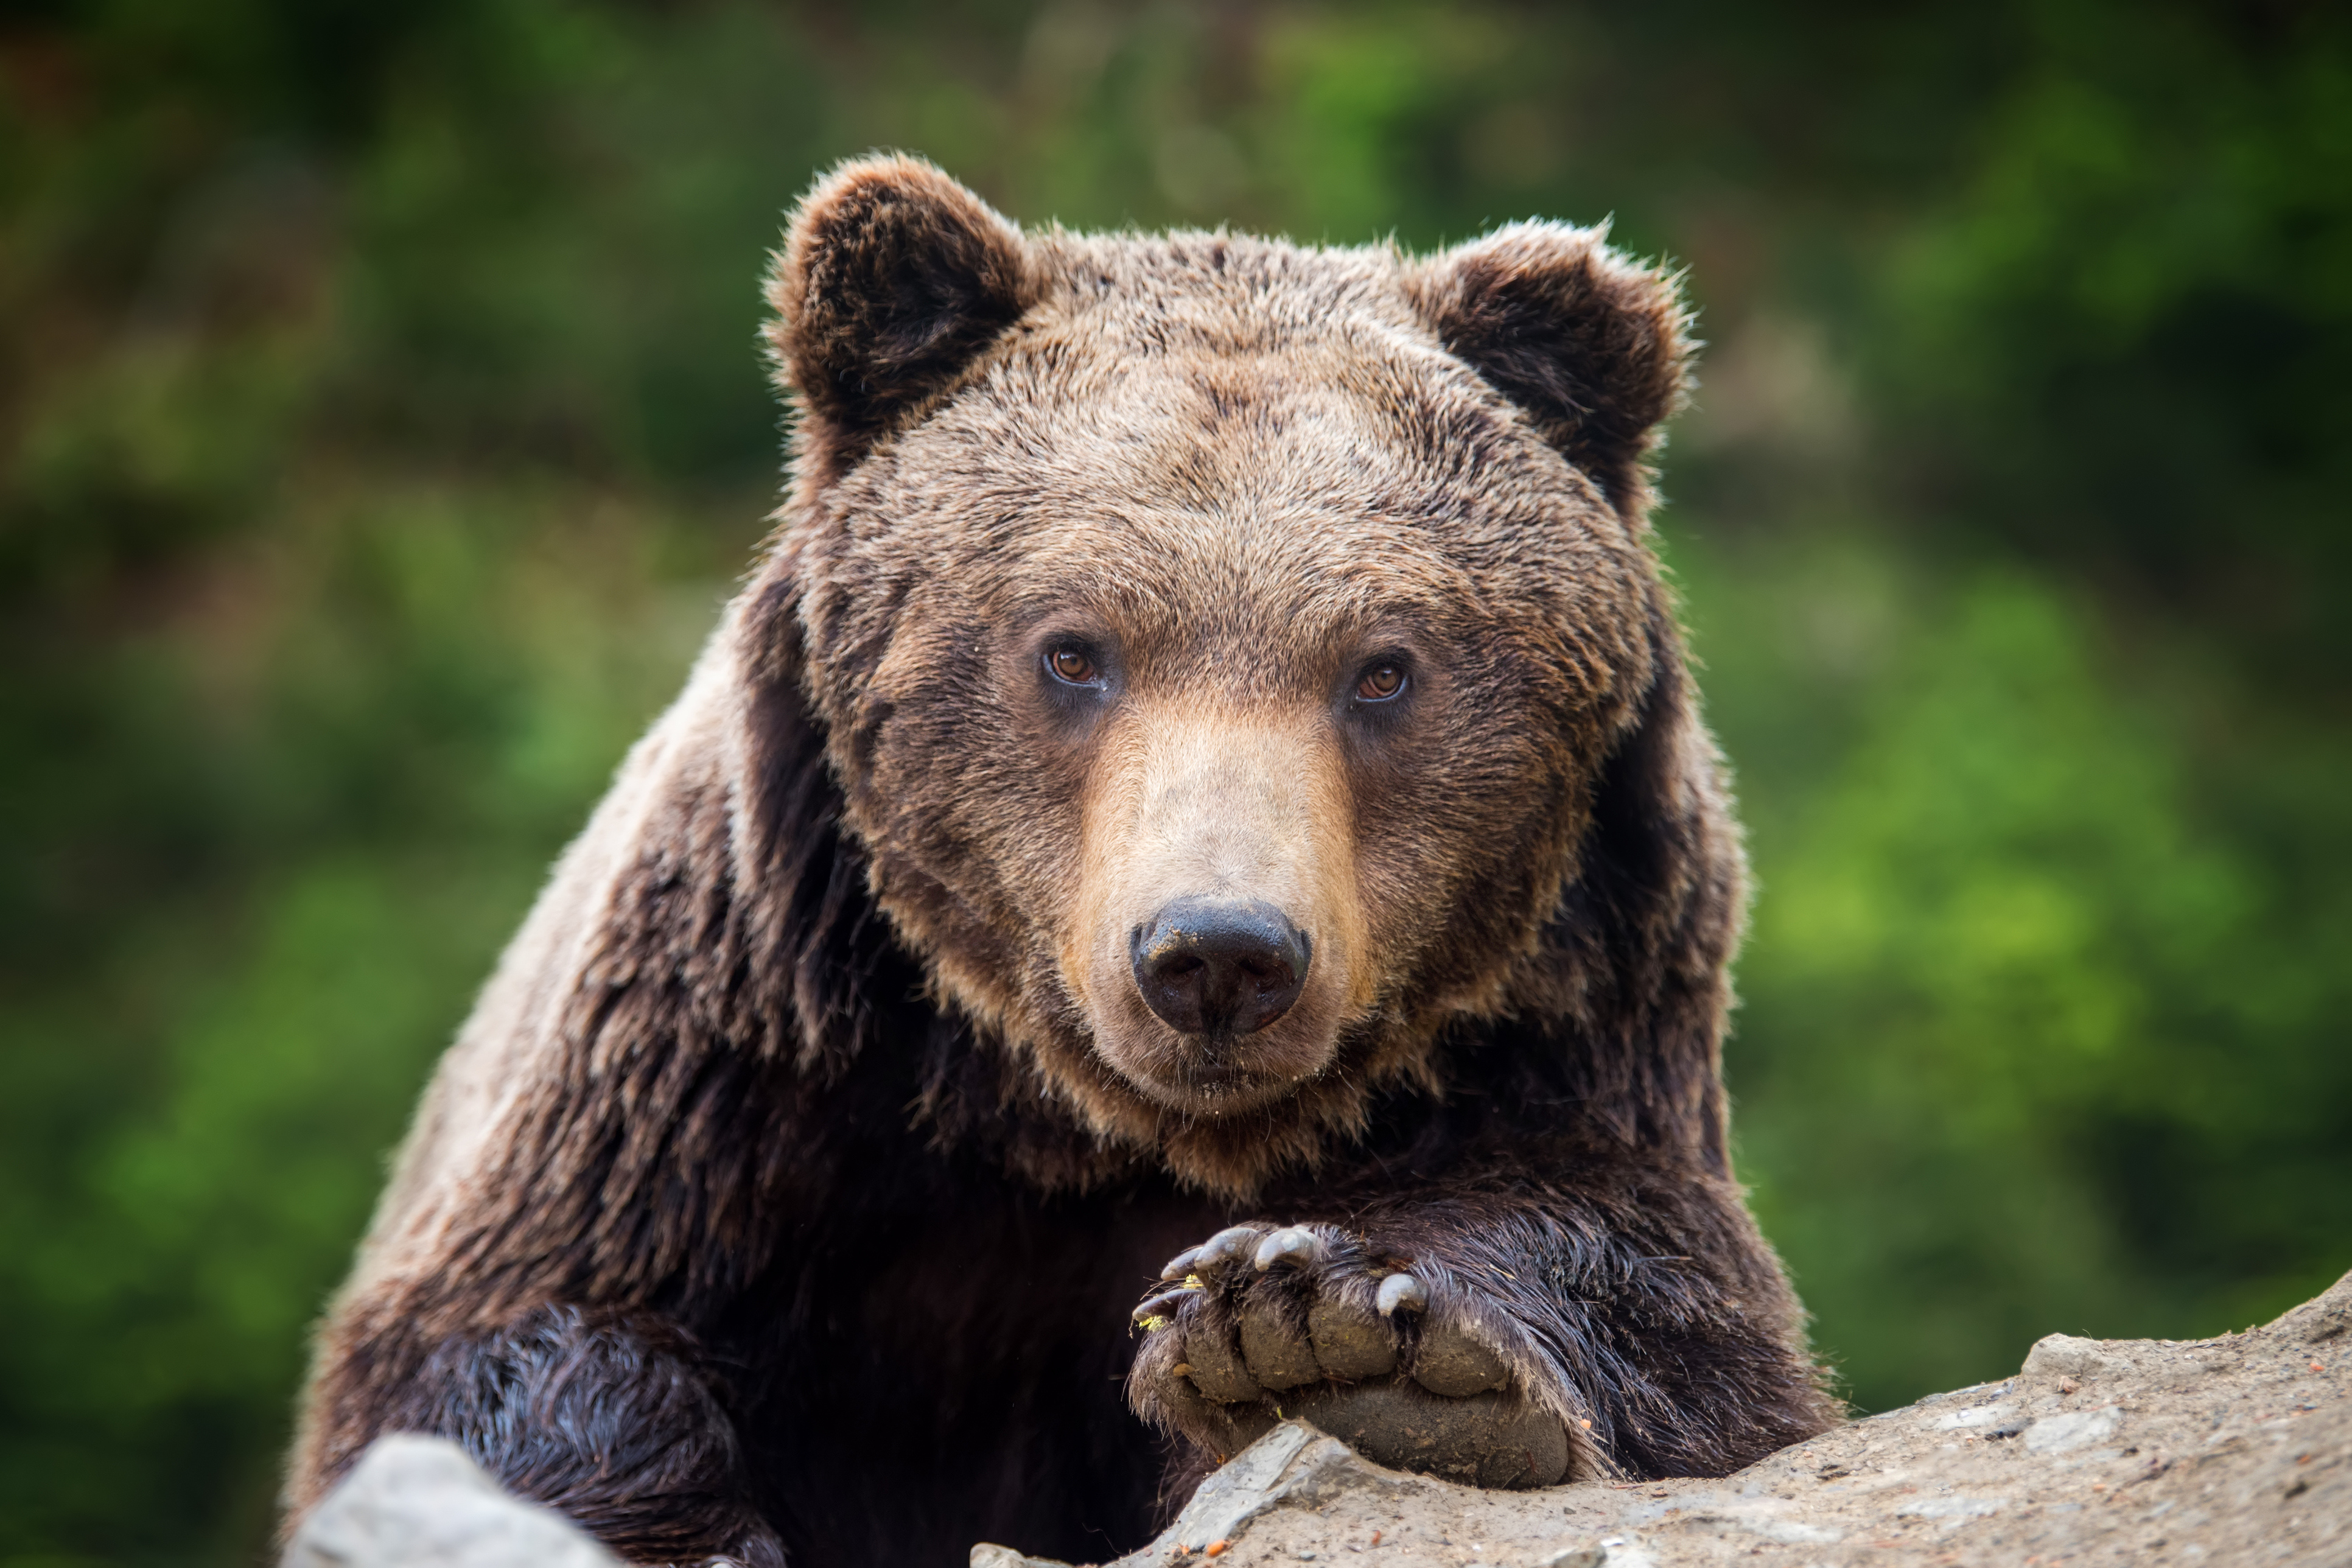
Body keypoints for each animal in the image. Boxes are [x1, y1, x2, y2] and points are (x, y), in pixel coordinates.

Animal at [289, 156, 1834, 1568]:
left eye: (1385, 668)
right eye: (1073, 649)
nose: (1219, 954)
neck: (1062, 1124)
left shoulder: (1569, 1023)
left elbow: (1673, 1307)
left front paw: (1331, 1334)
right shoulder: (732, 1065)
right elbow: (495, 1342)